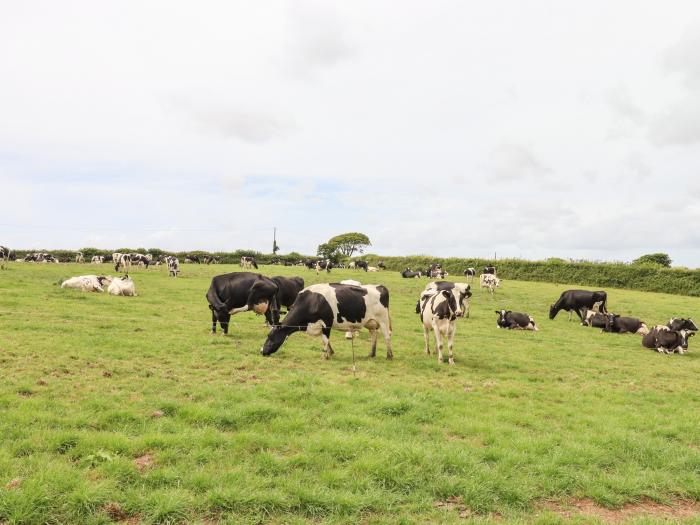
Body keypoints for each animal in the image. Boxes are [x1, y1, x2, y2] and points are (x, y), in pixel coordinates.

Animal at [262, 282, 394, 360]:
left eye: (270, 336)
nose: (261, 351)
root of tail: (380, 286)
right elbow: (326, 340)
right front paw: (330, 352)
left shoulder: (326, 323)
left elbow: (325, 339)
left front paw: (325, 355)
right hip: (371, 322)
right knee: (374, 335)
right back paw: (371, 354)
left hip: (383, 319)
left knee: (387, 336)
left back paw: (389, 356)